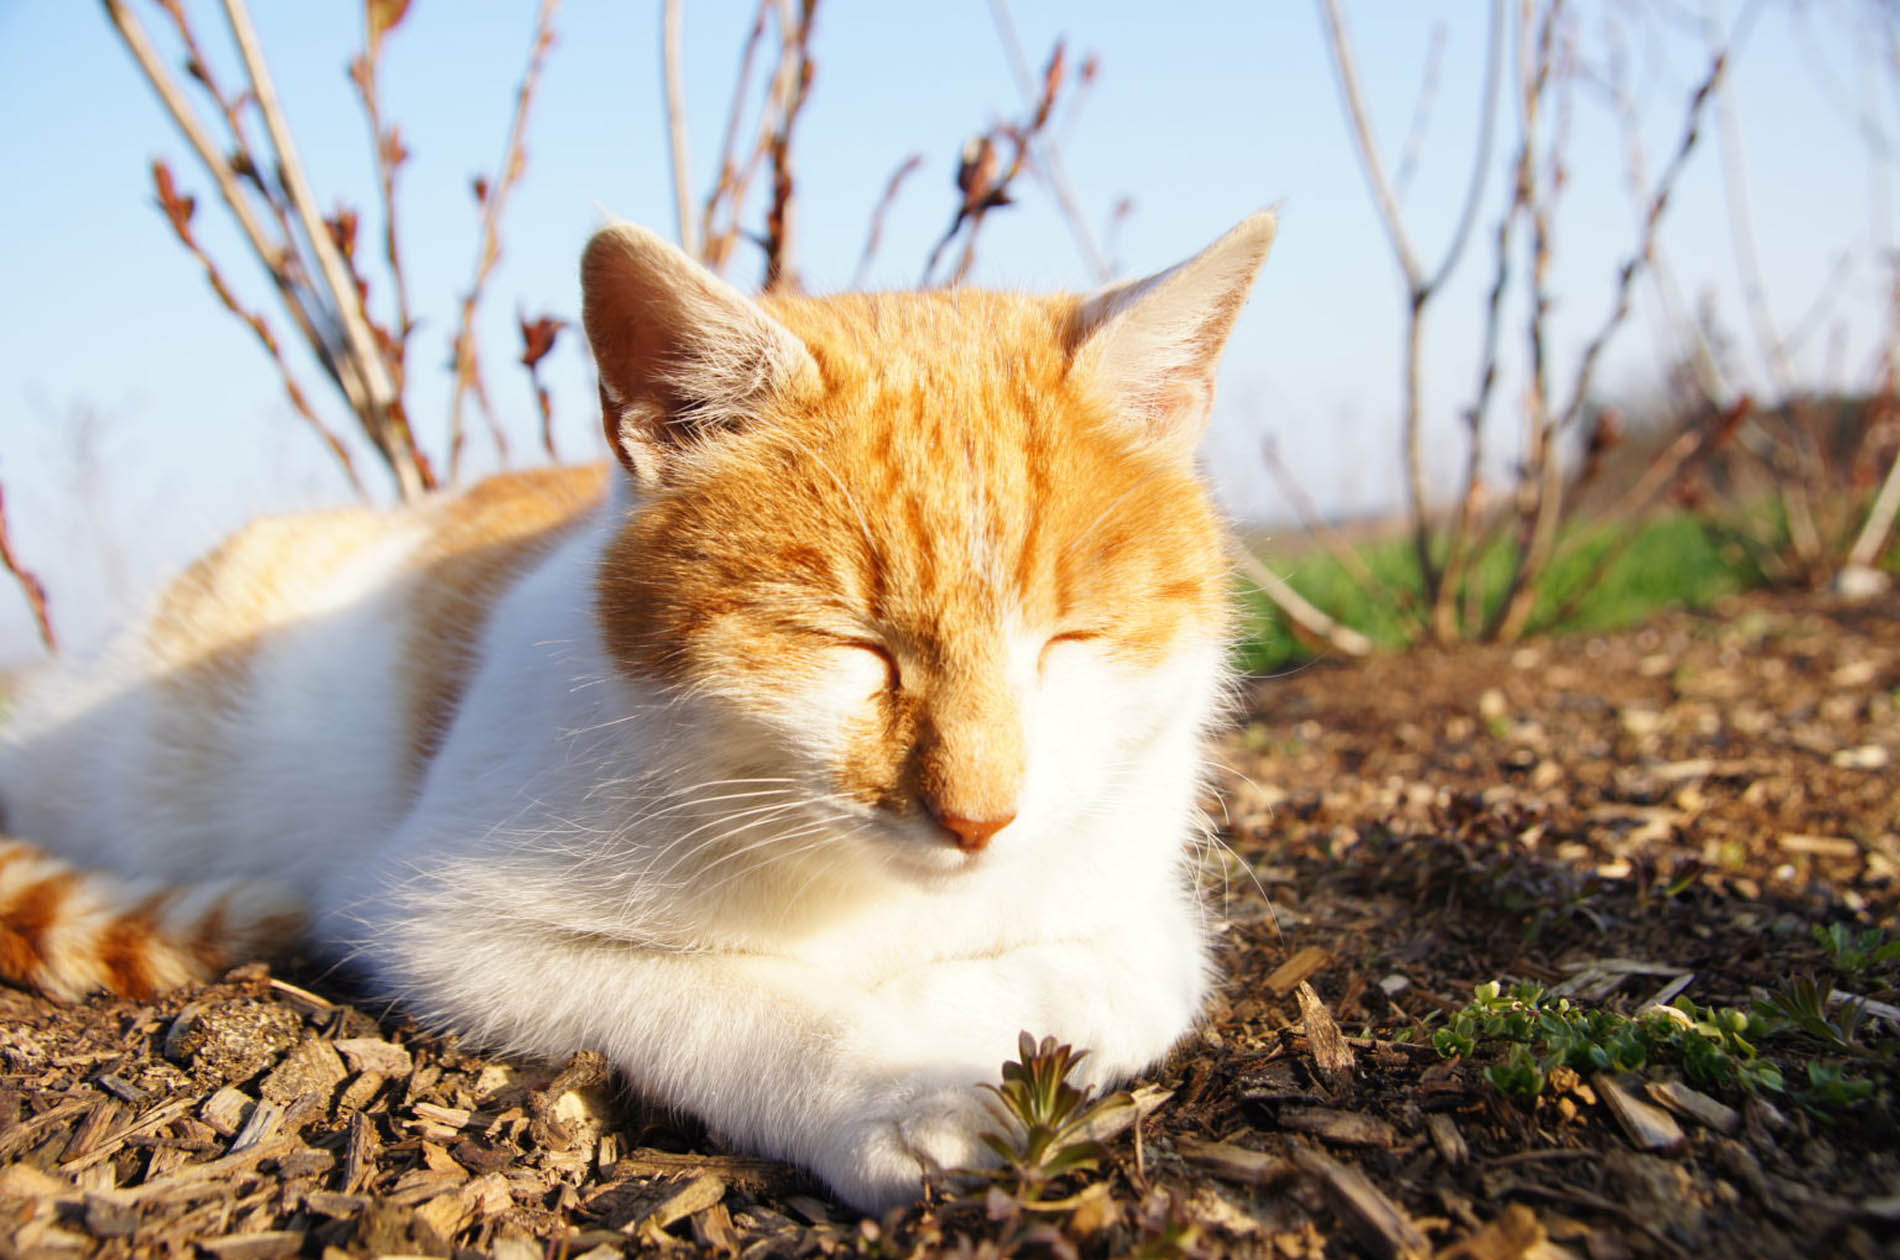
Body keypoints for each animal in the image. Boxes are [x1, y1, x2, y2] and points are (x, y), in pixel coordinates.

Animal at [0, 211, 1284, 1208]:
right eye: (848, 647)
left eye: (1067, 643)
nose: (979, 818)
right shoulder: (442, 922)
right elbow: (731, 1000)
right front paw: (894, 1089)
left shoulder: (1143, 910)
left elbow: (1119, 974)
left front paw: (941, 1011)